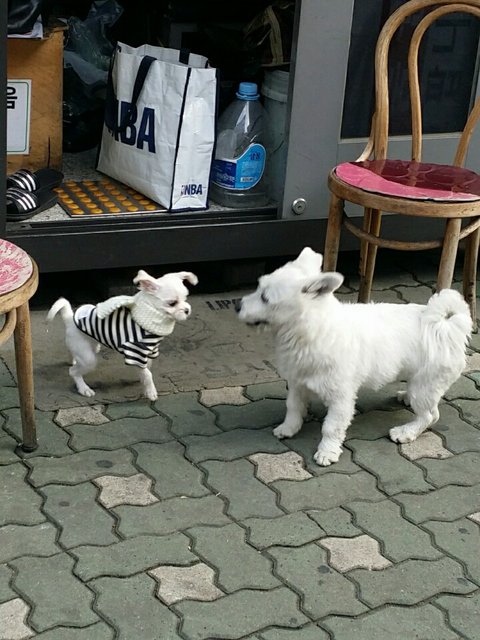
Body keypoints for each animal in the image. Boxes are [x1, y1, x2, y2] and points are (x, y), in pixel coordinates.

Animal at [47, 269, 197, 400]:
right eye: (172, 303)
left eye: (185, 298)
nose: (187, 310)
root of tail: (70, 319)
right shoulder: (136, 352)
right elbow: (148, 373)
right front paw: (150, 391)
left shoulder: (150, 351)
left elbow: (147, 367)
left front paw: (143, 379)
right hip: (88, 358)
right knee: (73, 371)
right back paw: (84, 388)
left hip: (88, 345)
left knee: (73, 353)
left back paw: (72, 359)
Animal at [237, 247, 472, 466]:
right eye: (258, 288)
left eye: (265, 298)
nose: (237, 305)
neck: (310, 331)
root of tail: (445, 325)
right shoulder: (297, 382)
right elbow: (293, 407)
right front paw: (288, 428)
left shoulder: (341, 397)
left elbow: (331, 427)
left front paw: (327, 451)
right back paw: (405, 396)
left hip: (426, 384)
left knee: (430, 415)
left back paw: (406, 432)